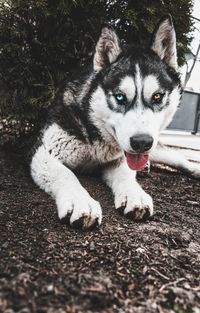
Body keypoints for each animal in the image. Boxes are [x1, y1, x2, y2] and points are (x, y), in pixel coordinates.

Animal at [30, 15, 199, 228]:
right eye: (120, 97)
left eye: (157, 96)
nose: (142, 142)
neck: (95, 137)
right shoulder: (43, 152)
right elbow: (65, 174)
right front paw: (80, 201)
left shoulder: (119, 159)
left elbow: (126, 175)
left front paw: (135, 194)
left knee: (180, 159)